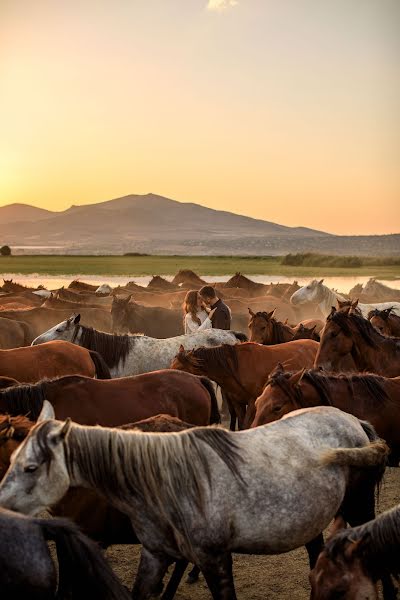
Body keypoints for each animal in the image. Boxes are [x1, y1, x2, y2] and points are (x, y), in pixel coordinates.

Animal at [170, 340, 318, 428]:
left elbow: (247, 424)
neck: (235, 367)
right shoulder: (237, 402)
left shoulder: (253, 401)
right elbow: (241, 424)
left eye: (180, 368)